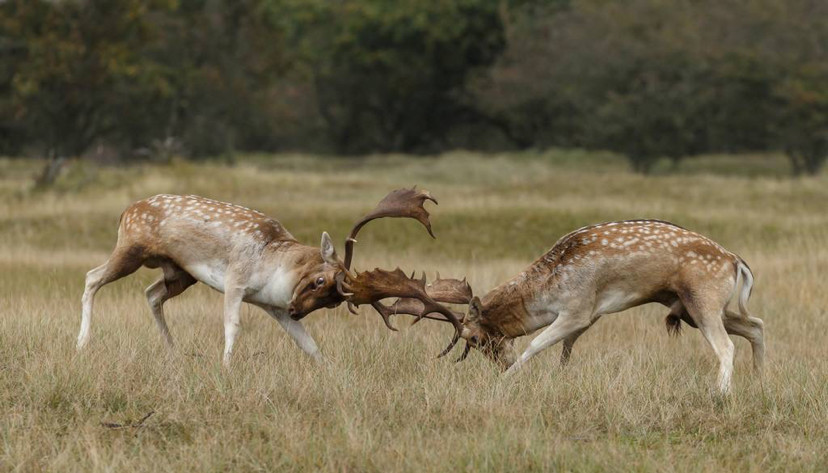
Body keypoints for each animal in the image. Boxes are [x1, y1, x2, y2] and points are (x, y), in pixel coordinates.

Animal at [77, 188, 466, 366]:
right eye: (320, 281)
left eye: (334, 303)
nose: (296, 309)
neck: (270, 269)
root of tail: (126, 211)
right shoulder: (235, 280)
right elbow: (232, 325)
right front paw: (226, 366)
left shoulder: (272, 307)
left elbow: (308, 344)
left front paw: (328, 368)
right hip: (131, 248)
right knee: (92, 277)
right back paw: (81, 344)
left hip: (179, 274)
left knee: (151, 293)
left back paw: (174, 352)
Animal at [384, 219, 768, 392]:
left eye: (475, 340)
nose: (499, 362)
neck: (546, 289)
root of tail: (735, 260)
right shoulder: (590, 316)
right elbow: (566, 348)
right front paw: (560, 376)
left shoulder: (578, 308)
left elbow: (537, 343)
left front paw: (507, 380)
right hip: (691, 309)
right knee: (757, 325)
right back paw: (760, 381)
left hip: (702, 299)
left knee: (727, 345)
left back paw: (720, 393)